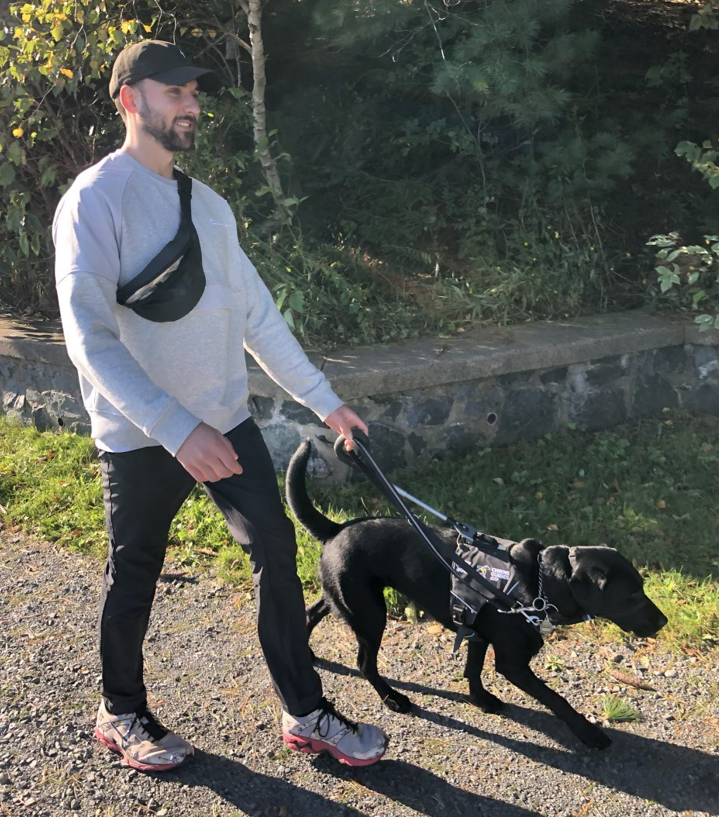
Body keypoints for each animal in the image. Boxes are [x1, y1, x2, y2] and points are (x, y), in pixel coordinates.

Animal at [286, 444, 668, 748]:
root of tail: (338, 528)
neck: (539, 583)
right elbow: (556, 699)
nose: (664, 621)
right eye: (632, 595)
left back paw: (306, 651)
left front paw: (480, 699)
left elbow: (472, 669)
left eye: (642, 587)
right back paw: (392, 698)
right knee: (365, 662)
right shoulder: (513, 663)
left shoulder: (477, 633)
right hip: (370, 613)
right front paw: (588, 733)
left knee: (311, 611)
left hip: (349, 597)